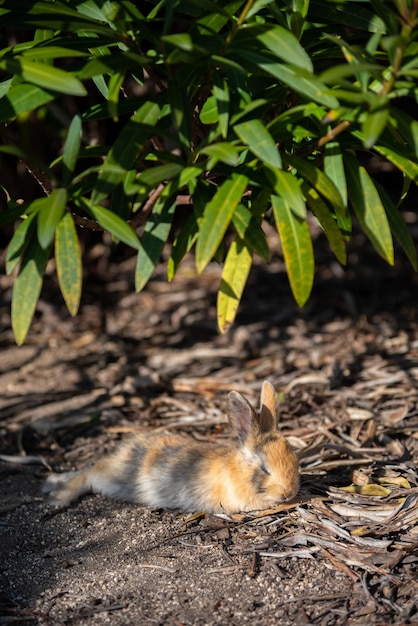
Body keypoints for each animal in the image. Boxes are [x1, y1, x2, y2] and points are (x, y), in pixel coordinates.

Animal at [44, 380, 298, 512]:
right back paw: (58, 497)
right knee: (89, 474)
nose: (289, 493)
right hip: (113, 477)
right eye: (264, 468)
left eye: (295, 460)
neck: (238, 471)